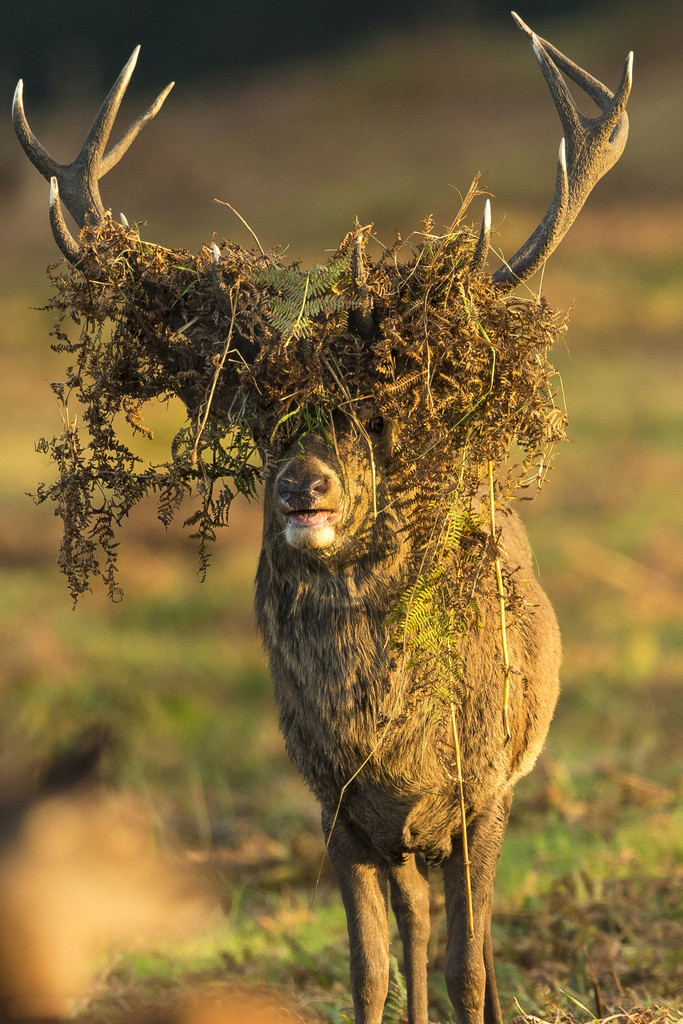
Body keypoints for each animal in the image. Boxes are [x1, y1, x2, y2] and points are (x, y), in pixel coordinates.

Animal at [13, 14, 632, 1024]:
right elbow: (368, 967)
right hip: (396, 840)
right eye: (262, 419)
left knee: (467, 944)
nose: (305, 488)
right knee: (413, 924)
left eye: (370, 418)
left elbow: (468, 965)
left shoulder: (484, 791)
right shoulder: (332, 807)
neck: (389, 745)